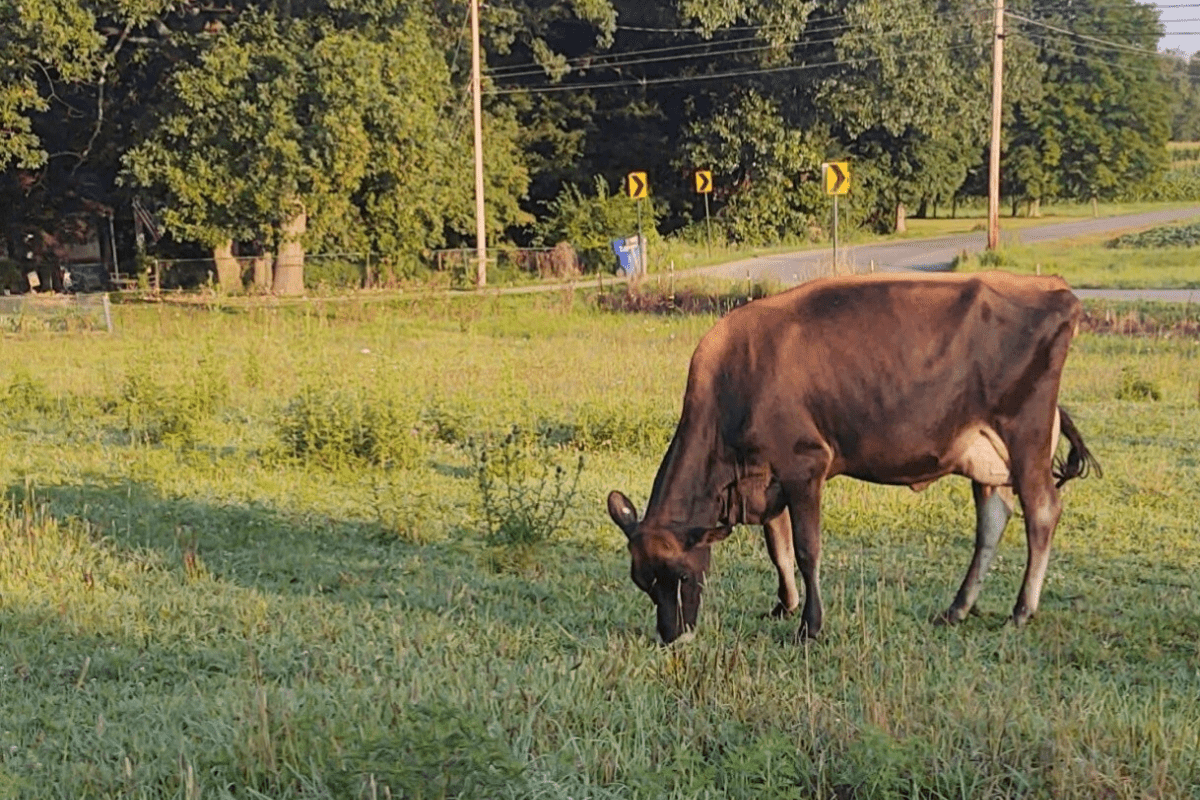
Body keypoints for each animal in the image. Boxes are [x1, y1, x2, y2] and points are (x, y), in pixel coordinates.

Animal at [609, 272, 1099, 647]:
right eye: (642, 582)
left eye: (682, 575)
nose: (672, 636)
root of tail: (1054, 287)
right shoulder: (766, 476)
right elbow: (777, 547)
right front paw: (784, 605)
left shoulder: (804, 464)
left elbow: (806, 550)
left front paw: (810, 626)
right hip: (986, 456)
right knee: (993, 521)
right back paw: (957, 609)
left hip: (1025, 433)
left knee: (1042, 510)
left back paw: (1021, 610)